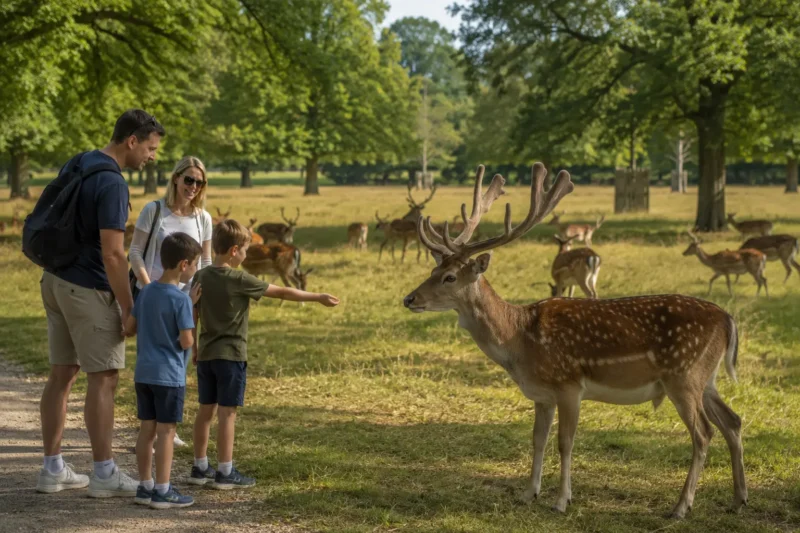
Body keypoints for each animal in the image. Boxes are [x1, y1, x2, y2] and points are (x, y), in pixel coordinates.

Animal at [402, 163, 746, 519]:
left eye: (450, 277)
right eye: (432, 270)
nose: (409, 298)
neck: (519, 341)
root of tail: (727, 319)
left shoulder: (569, 385)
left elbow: (565, 442)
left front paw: (561, 500)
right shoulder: (541, 395)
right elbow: (537, 439)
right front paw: (529, 493)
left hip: (683, 375)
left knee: (703, 433)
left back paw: (681, 506)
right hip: (706, 378)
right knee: (733, 421)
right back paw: (738, 499)